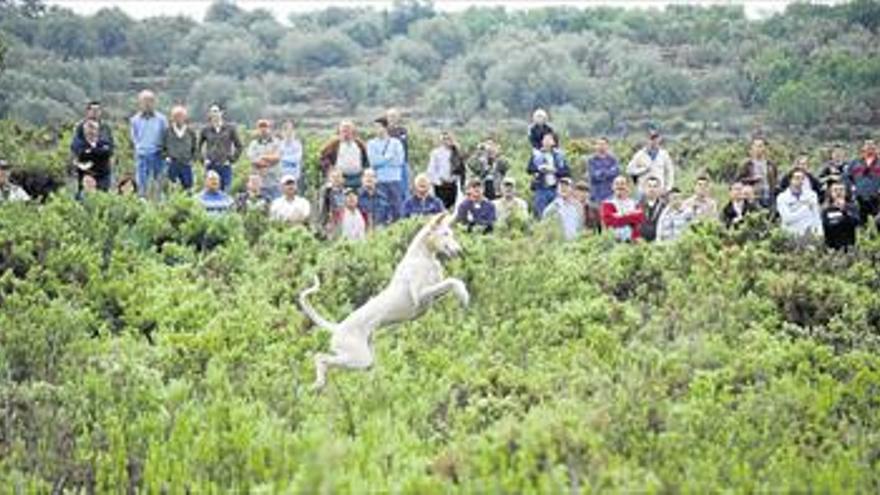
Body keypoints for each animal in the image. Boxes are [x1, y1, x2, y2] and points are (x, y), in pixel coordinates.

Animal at [300, 213, 470, 392]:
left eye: (451, 234)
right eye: (445, 234)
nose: (459, 251)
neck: (423, 257)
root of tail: (337, 327)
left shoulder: (431, 297)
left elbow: (450, 283)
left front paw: (462, 294)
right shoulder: (420, 297)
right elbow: (453, 281)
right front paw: (464, 295)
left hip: (365, 359)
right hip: (358, 358)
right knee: (320, 357)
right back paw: (318, 383)